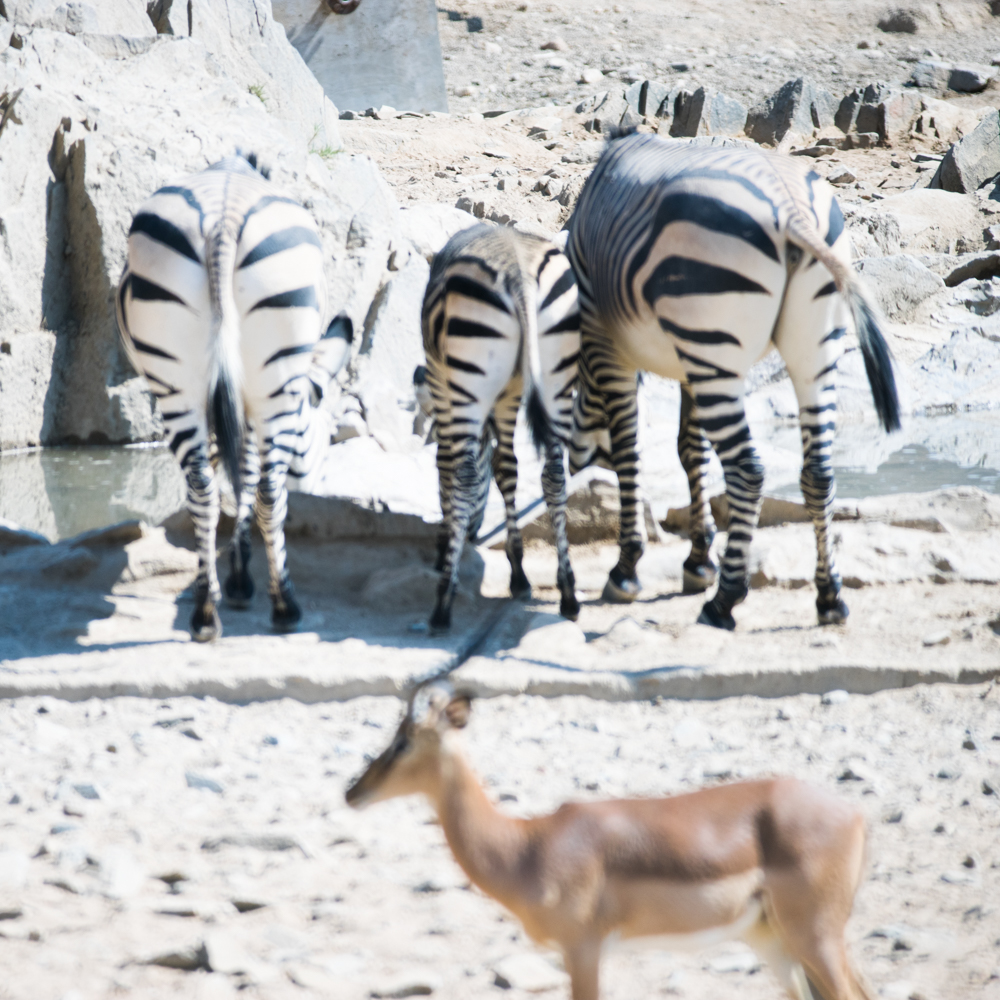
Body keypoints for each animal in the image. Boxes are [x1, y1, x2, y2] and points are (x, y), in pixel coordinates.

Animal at [116, 153, 353, 642]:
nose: (316, 473)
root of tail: (222, 221)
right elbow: (244, 474)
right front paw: (243, 575)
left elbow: (227, 472)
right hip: (274, 377)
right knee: (268, 490)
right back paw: (284, 607)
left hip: (176, 380)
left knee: (202, 486)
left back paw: (206, 612)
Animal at [346, 681, 874, 1000]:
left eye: (403, 741)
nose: (353, 791)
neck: (526, 847)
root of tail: (853, 813)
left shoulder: (582, 948)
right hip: (773, 940)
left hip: (815, 935)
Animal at [422, 224, 581, 631]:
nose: (473, 532)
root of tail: (518, 270)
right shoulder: (510, 393)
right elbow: (505, 468)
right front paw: (518, 573)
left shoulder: (440, 380)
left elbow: (448, 466)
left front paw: (447, 547)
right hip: (557, 376)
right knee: (555, 474)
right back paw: (569, 593)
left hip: (467, 380)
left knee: (462, 472)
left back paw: (442, 604)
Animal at [566, 131, 900, 631]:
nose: (573, 460)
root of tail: (790, 206)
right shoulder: (690, 367)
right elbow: (690, 451)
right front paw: (698, 560)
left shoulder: (610, 348)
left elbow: (631, 453)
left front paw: (627, 570)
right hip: (808, 348)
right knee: (818, 473)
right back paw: (829, 598)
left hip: (714, 342)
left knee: (748, 470)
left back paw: (724, 602)